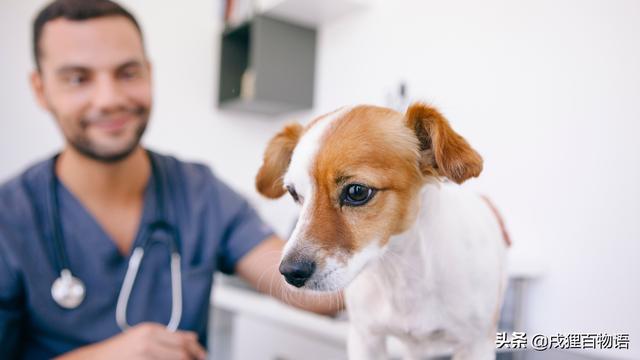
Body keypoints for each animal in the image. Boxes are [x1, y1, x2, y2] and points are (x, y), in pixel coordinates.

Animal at [255, 102, 510, 360]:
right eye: (293, 193)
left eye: (357, 191)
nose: (290, 272)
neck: (400, 272)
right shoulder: (365, 338)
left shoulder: (476, 345)